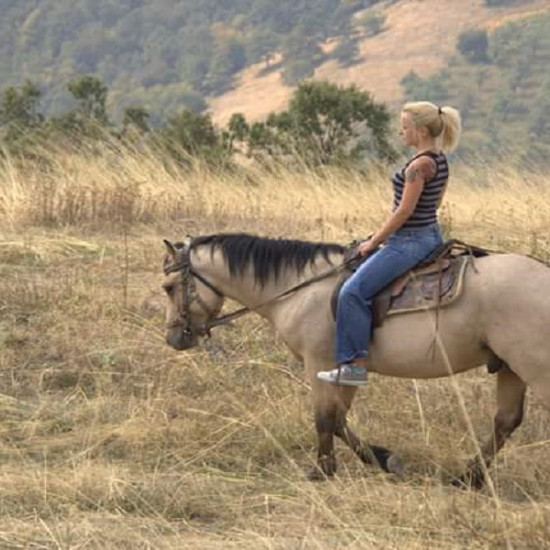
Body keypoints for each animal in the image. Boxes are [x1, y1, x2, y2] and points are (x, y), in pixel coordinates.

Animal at [161, 232, 550, 488]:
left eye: (168, 287)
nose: (174, 337)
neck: (302, 287)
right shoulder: (344, 370)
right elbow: (338, 420)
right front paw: (384, 460)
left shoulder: (318, 363)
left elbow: (324, 418)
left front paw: (321, 471)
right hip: (511, 368)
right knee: (505, 422)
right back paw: (467, 478)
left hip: (534, 368)